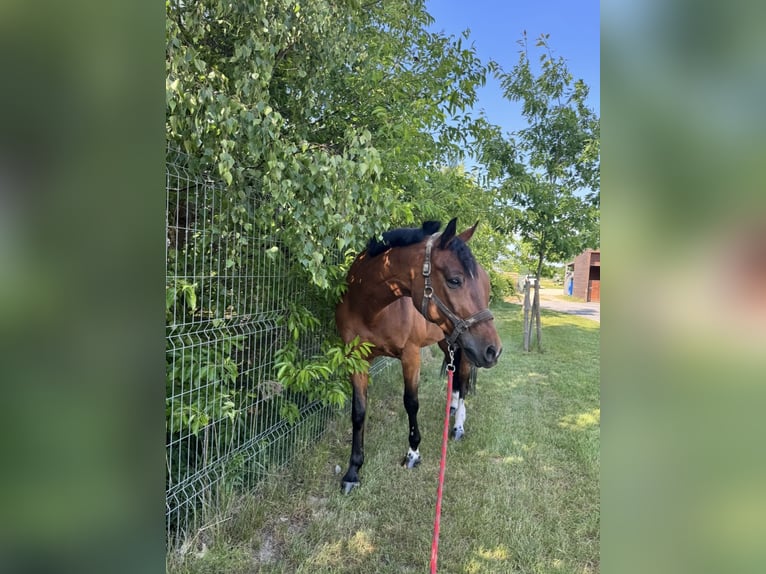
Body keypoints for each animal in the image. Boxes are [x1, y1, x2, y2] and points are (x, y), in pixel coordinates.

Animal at [336, 218, 504, 492]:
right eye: (454, 280)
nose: (494, 350)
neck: (370, 309)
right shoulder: (356, 359)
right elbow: (358, 412)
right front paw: (353, 471)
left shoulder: (410, 356)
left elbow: (411, 403)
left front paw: (413, 453)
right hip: (449, 340)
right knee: (455, 381)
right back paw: (451, 408)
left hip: (467, 349)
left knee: (463, 382)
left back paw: (458, 426)